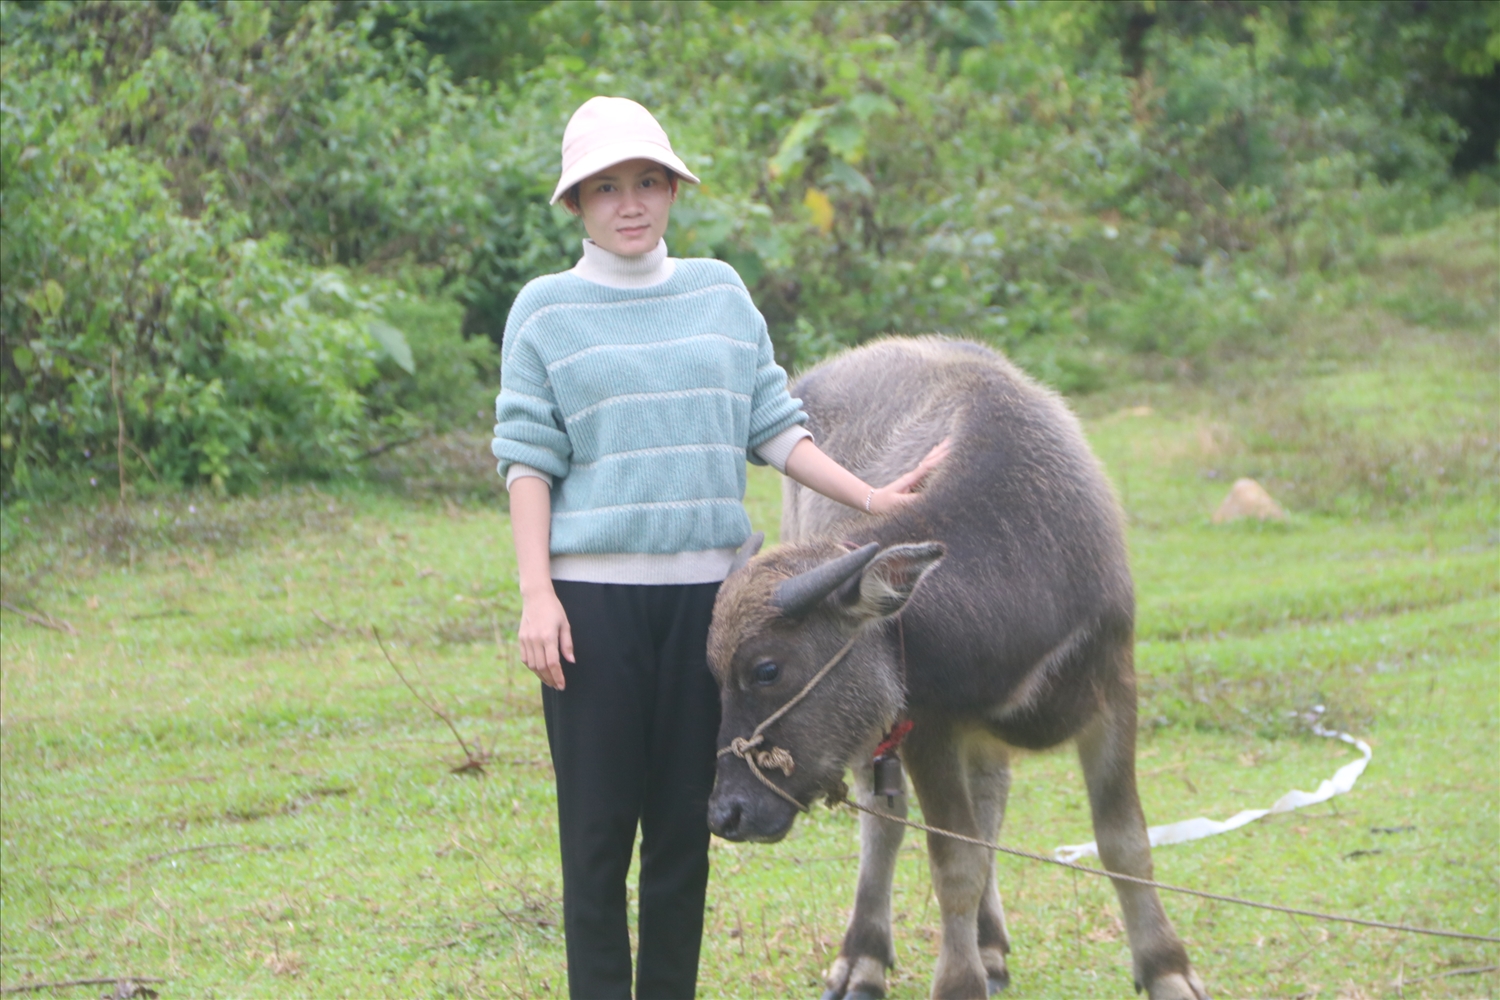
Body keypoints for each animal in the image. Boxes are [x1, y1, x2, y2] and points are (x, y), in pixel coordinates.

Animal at [702, 338, 1206, 1000]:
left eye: (765, 670)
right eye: (717, 676)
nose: (725, 814)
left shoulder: (1115, 685)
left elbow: (1124, 840)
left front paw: (1167, 967)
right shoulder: (927, 723)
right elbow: (954, 861)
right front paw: (958, 978)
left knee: (991, 795)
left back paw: (989, 943)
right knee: (887, 822)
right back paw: (864, 957)